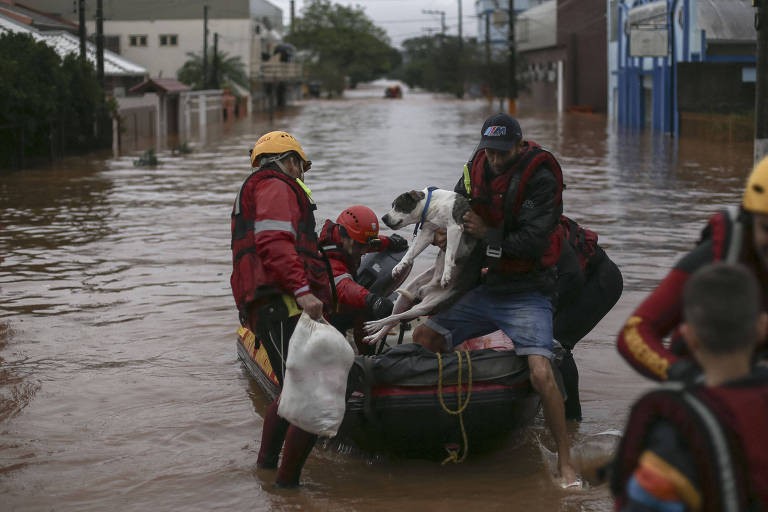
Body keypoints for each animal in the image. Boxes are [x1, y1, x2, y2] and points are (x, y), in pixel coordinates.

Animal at [364, 190, 484, 346]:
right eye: (393, 205)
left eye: (399, 206)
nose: (384, 218)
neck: (433, 205)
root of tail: (425, 290)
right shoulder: (428, 233)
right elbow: (410, 252)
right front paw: (399, 266)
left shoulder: (454, 228)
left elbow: (449, 254)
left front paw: (446, 275)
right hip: (406, 297)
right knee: (393, 319)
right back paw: (375, 334)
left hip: (424, 306)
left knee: (394, 318)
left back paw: (374, 325)